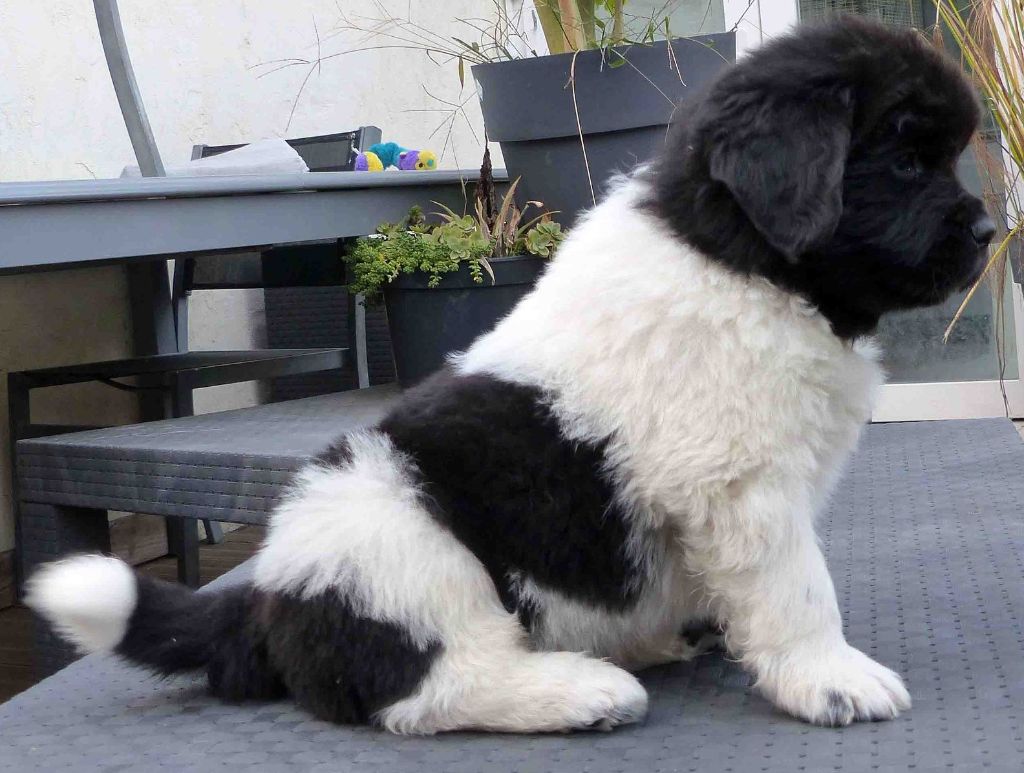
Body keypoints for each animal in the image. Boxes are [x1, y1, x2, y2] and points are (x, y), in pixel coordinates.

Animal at [27, 17, 994, 733]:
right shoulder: (742, 483)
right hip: (404, 541)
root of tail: (265, 593)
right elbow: (799, 587)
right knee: (426, 690)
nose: (989, 233)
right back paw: (581, 690)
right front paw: (832, 678)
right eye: (907, 162)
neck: (741, 257)